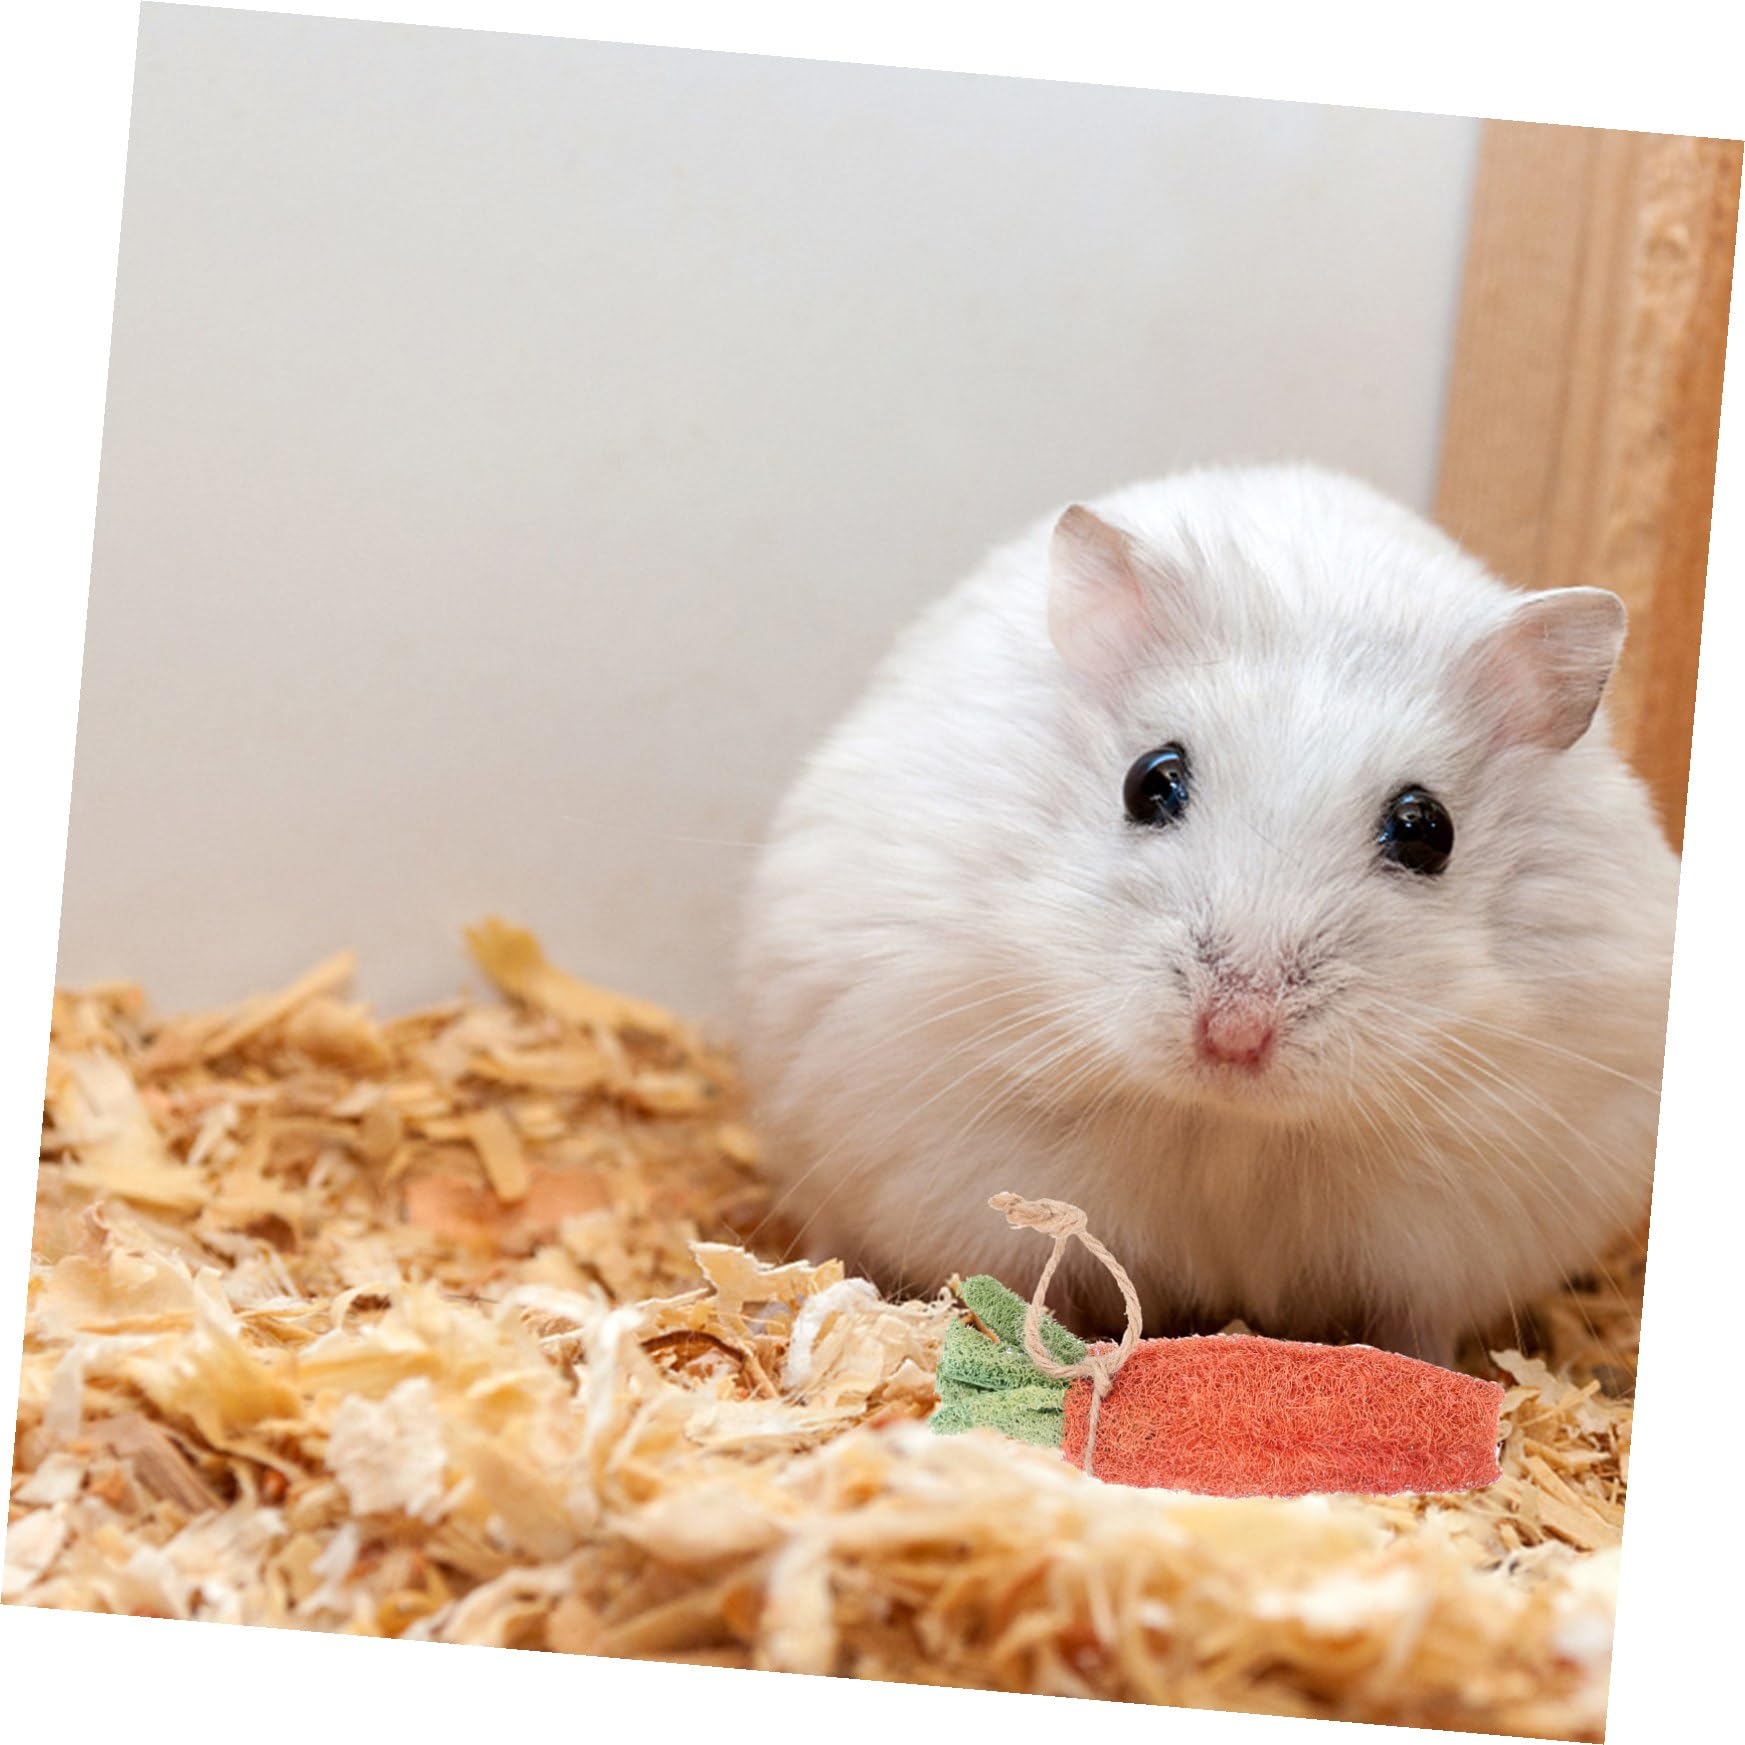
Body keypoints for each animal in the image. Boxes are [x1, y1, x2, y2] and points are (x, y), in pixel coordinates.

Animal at [736, 465, 1679, 1364]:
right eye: (1149, 780)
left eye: (1425, 829)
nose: (1233, 1036)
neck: (1228, 1124)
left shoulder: (1458, 1223)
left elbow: (1412, 1327)